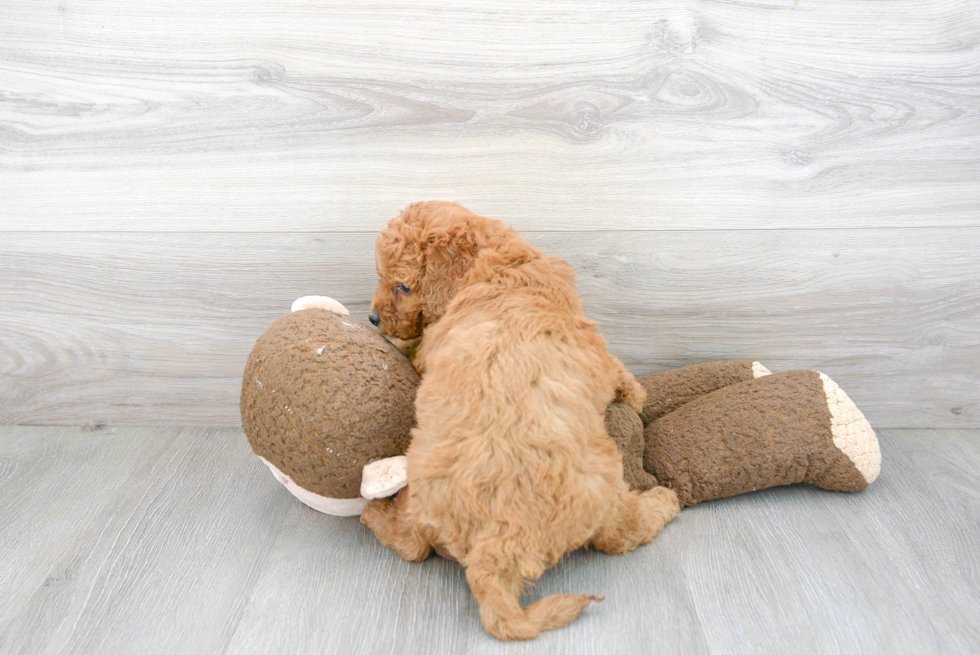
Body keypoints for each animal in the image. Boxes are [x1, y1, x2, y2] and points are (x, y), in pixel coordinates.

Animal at [362, 200, 680, 640]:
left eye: (402, 286)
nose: (372, 319)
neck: (494, 267)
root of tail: (496, 546)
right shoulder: (592, 347)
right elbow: (615, 369)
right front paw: (636, 393)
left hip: (421, 491)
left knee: (412, 544)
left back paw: (374, 514)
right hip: (603, 487)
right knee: (619, 534)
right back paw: (664, 501)